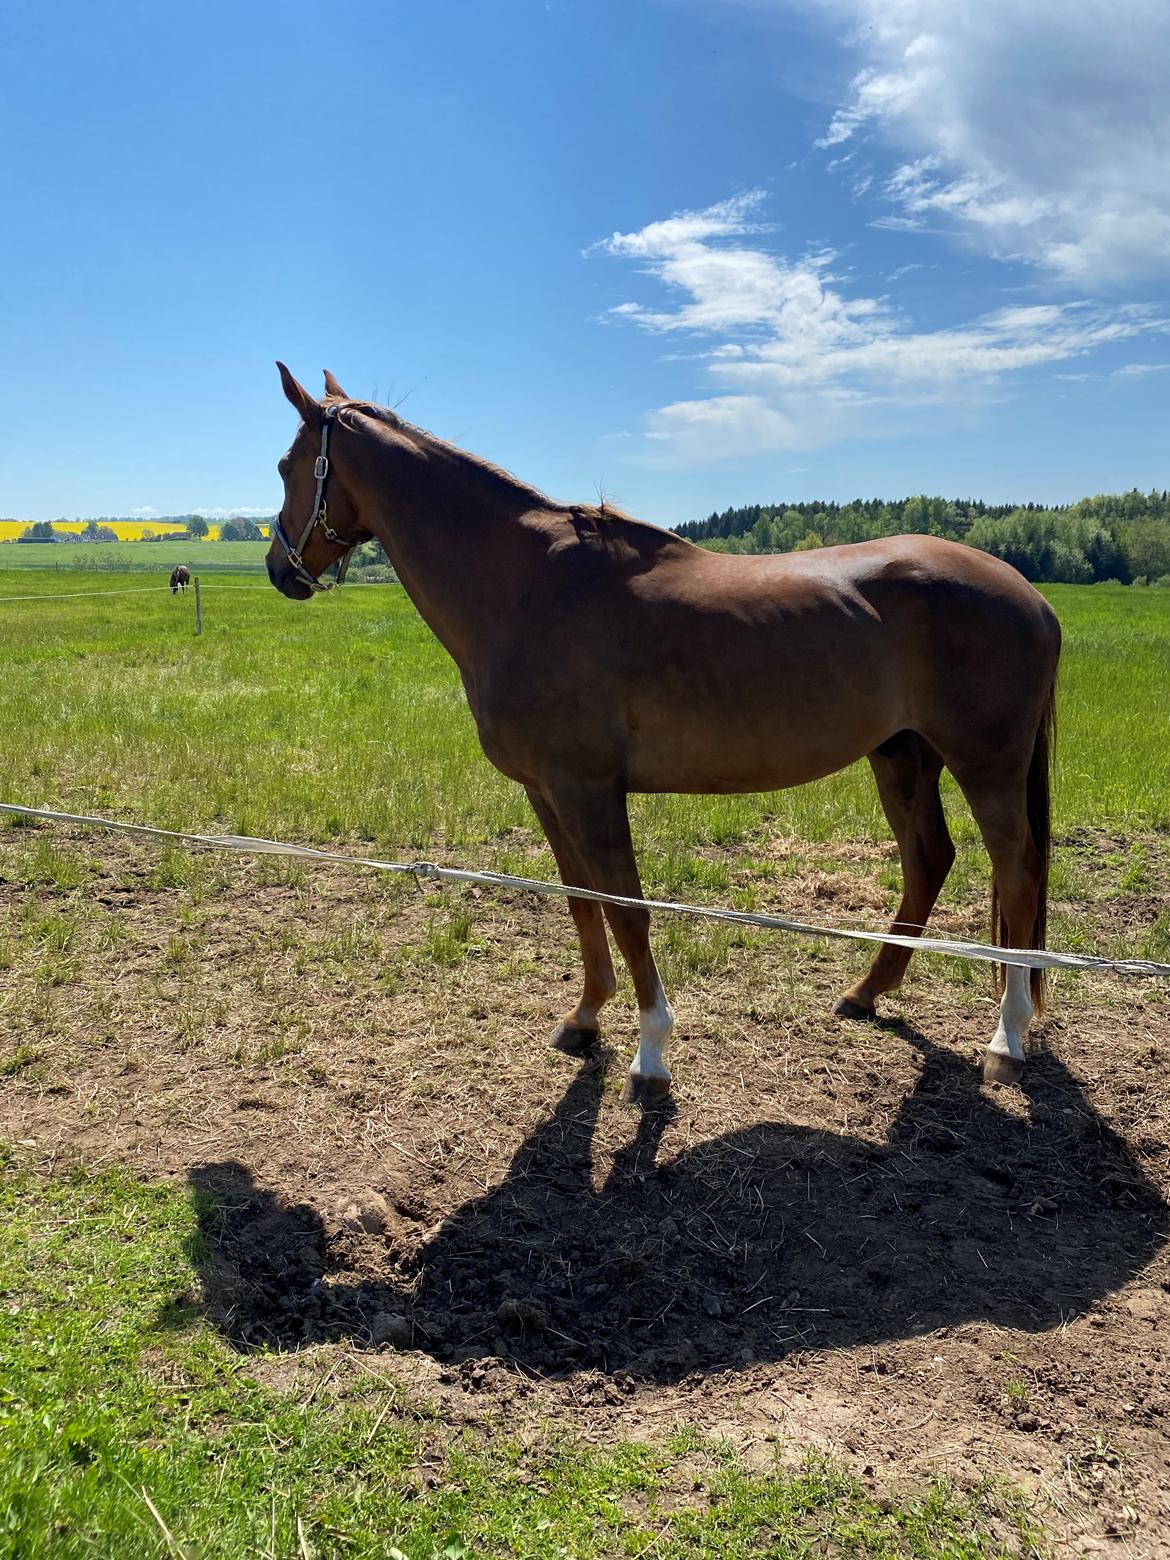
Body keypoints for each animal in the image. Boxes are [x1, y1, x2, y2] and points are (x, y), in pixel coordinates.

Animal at [265, 363, 1060, 1098]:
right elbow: (583, 902)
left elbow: (628, 912)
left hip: (985, 764)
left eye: (285, 466)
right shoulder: (546, 792)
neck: (526, 588)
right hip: (902, 755)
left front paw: (651, 1049)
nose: (279, 570)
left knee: (1016, 871)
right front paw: (585, 1018)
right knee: (929, 859)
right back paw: (866, 994)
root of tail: (1030, 595)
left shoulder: (589, 790)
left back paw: (1007, 1036)